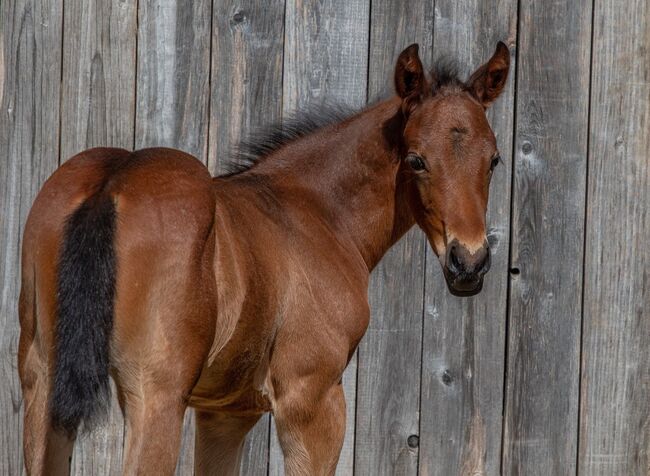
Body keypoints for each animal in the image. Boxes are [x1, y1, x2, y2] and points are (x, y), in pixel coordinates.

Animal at [18, 41, 510, 475]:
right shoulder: (311, 399)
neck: (317, 213)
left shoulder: (226, 414)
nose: (468, 262)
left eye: (494, 160)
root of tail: (112, 180)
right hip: (154, 396)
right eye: (416, 160)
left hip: (42, 386)